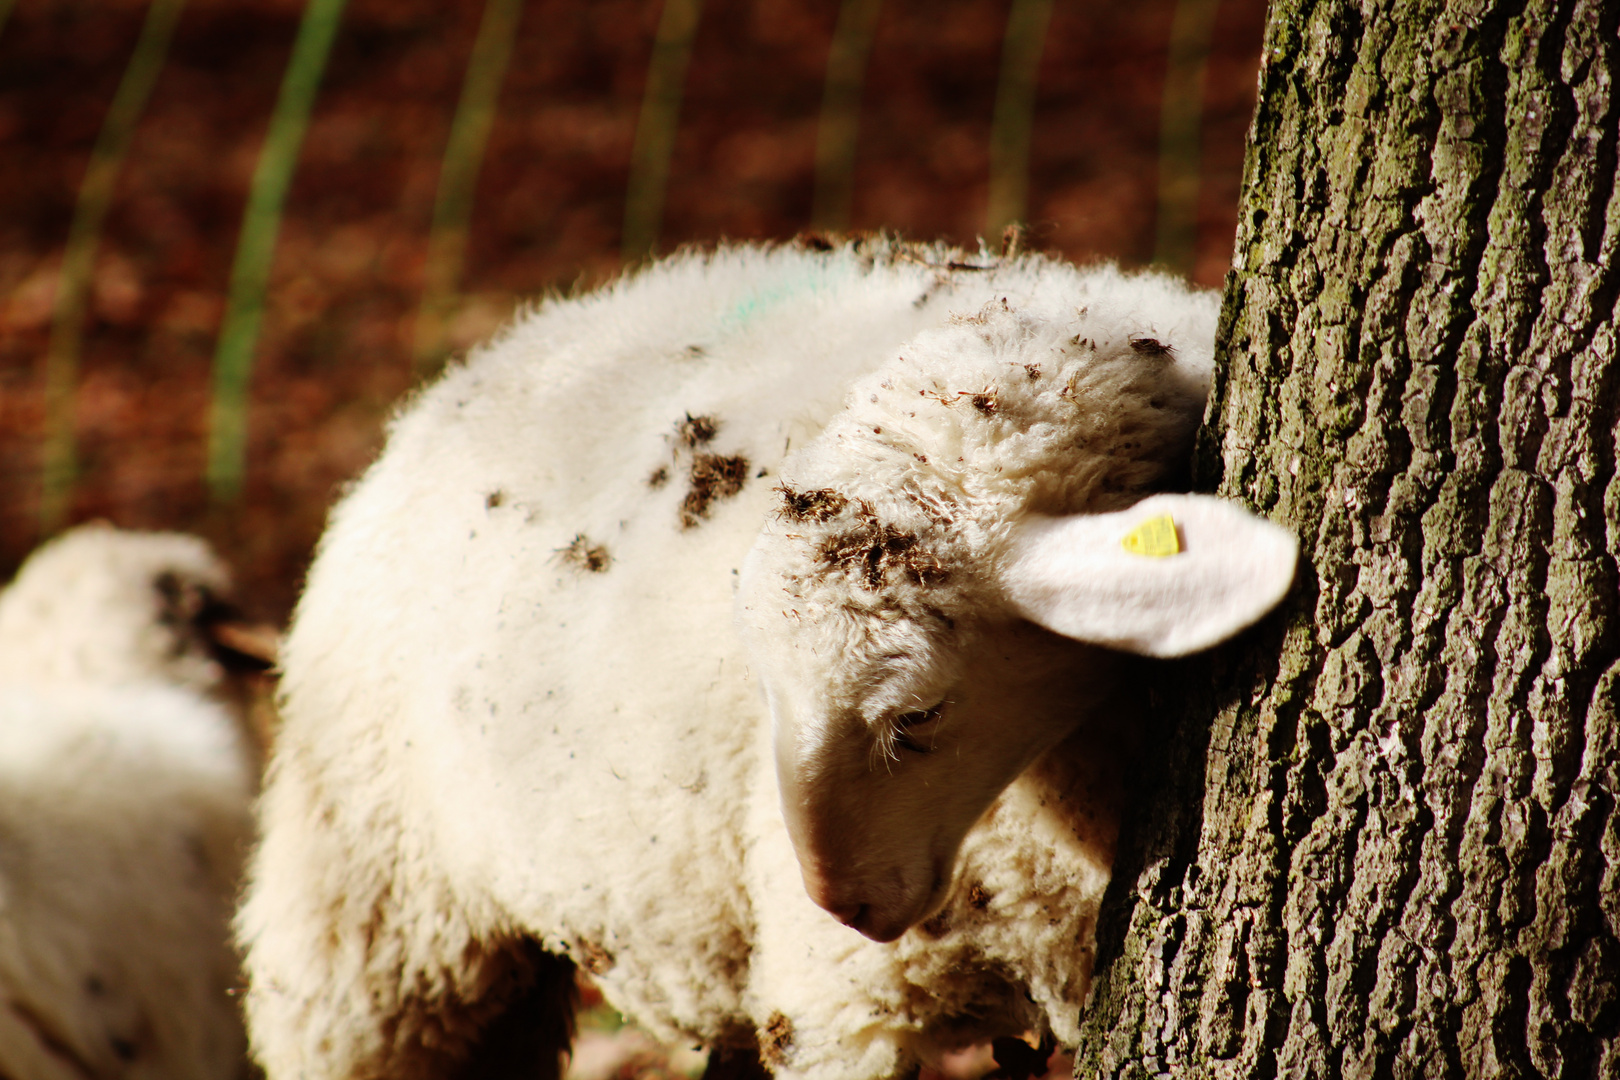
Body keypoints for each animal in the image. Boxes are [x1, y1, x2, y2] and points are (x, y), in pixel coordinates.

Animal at [236, 236, 1289, 1080]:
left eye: (919, 715)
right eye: (768, 691)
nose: (844, 906)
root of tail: (492, 359)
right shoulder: (844, 1009)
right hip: (373, 920)